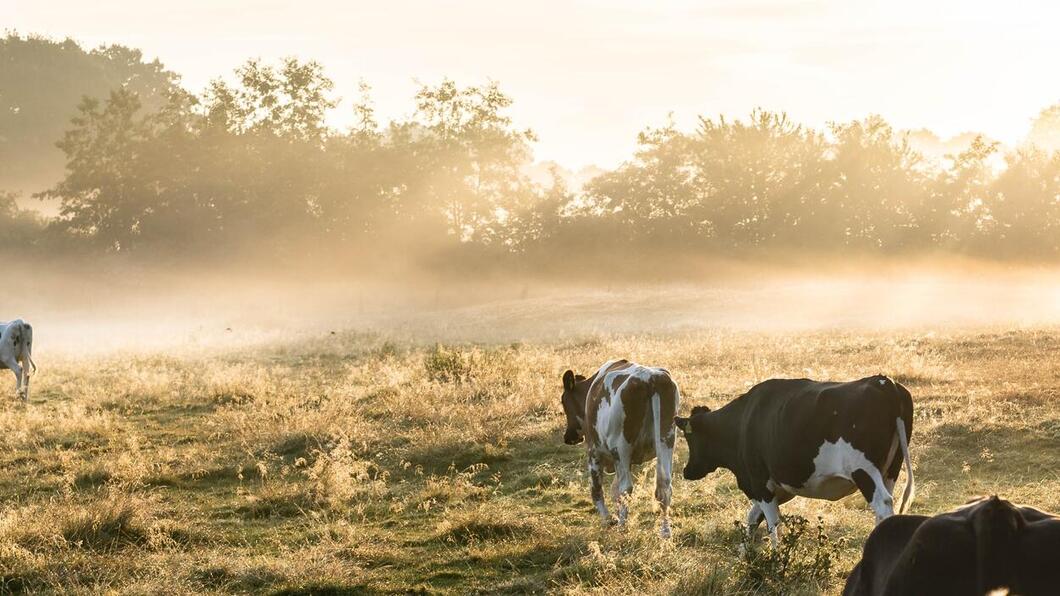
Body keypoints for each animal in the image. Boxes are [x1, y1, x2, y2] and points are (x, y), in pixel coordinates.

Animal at [563, 360, 678, 536]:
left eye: (563, 402)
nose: (568, 437)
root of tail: (649, 378)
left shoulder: (594, 452)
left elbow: (597, 490)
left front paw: (608, 520)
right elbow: (614, 490)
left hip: (621, 447)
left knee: (626, 487)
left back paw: (623, 525)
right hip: (666, 439)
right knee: (664, 486)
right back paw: (665, 531)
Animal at [674, 375, 915, 542]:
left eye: (689, 436)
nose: (687, 471)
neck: (743, 421)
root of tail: (883, 381)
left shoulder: (760, 482)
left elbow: (772, 524)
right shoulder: (778, 488)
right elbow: (753, 517)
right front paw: (746, 556)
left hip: (864, 470)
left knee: (883, 504)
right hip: (890, 470)